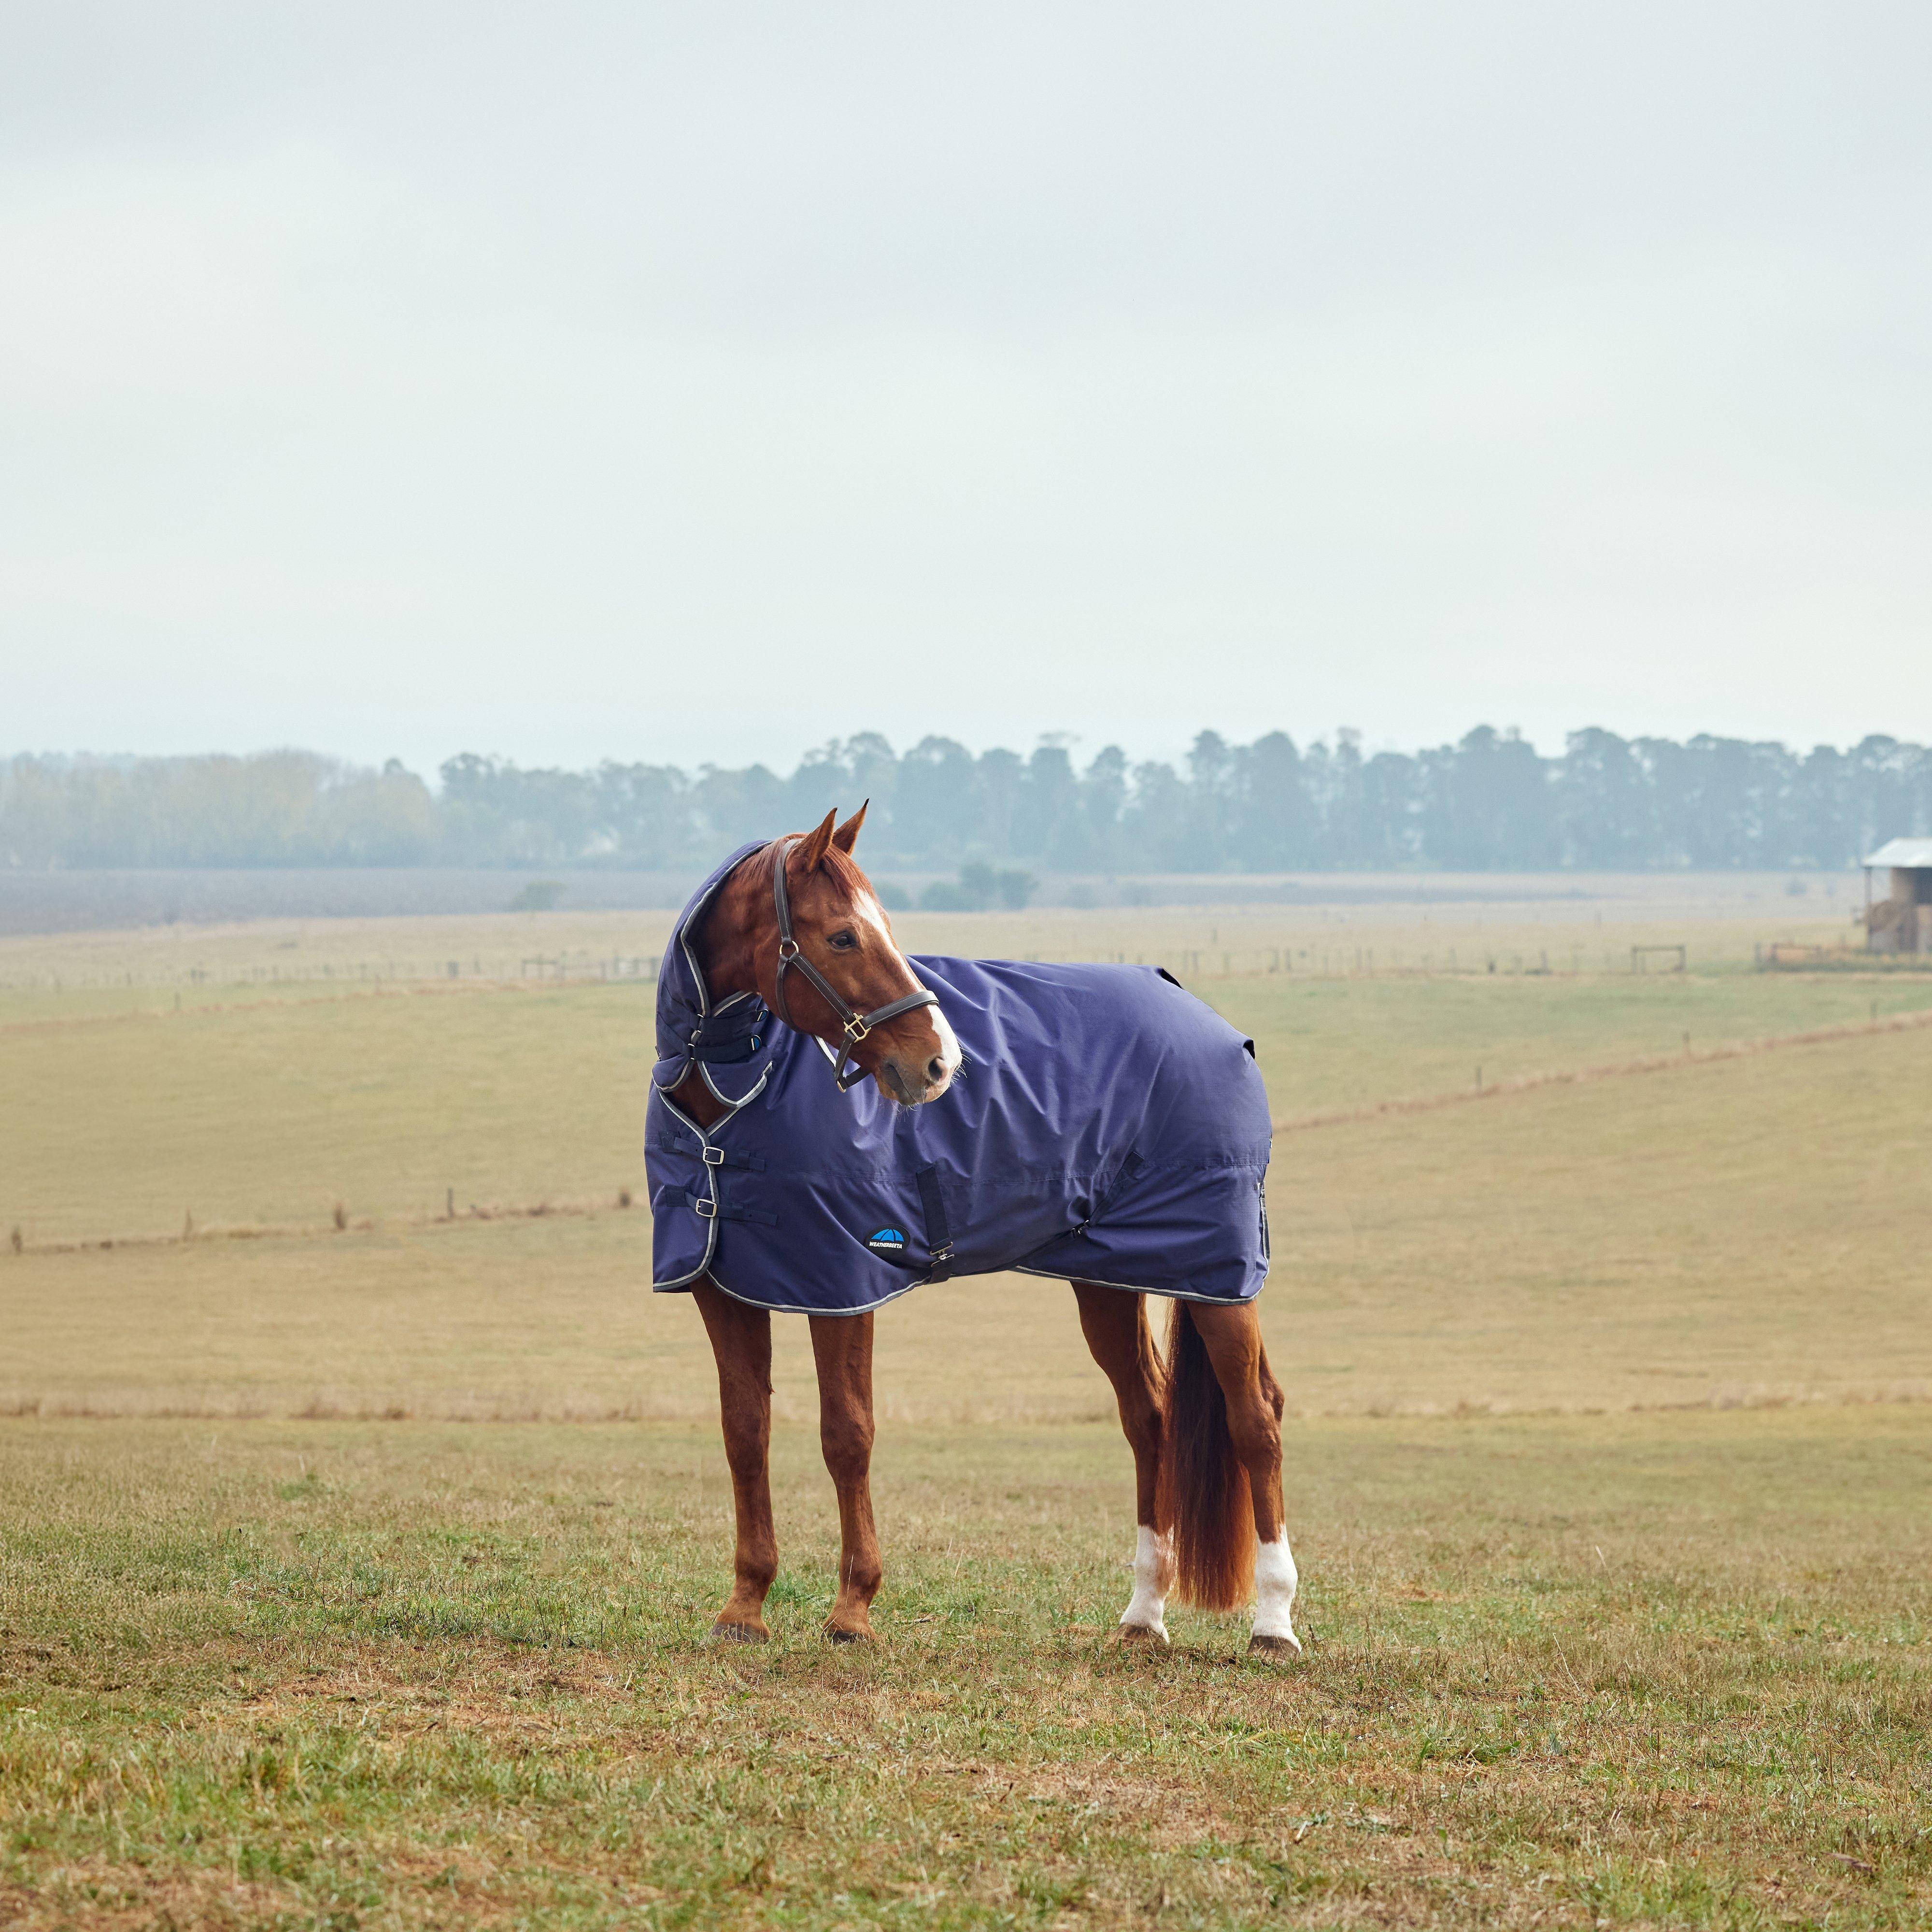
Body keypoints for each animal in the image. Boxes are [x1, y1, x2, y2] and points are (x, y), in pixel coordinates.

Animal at [647, 806, 1299, 1656]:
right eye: (843, 937)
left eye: (883, 928)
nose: (939, 1063)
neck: (730, 1096)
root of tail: (1209, 1019)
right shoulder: (722, 1287)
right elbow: (744, 1433)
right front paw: (745, 1609)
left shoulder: (845, 1284)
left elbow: (846, 1434)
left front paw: (852, 1611)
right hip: (1111, 1281)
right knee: (1149, 1420)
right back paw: (1142, 1616)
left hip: (1218, 1274)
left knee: (1256, 1419)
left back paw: (1274, 1625)